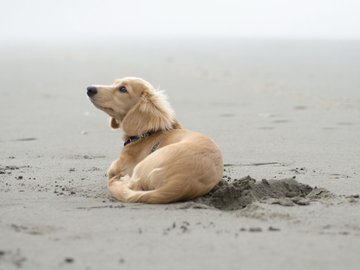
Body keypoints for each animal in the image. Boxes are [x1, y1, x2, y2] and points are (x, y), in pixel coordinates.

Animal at [86, 77, 224, 204]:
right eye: (114, 83)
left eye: (123, 89)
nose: (89, 89)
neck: (147, 133)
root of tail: (180, 182)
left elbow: (112, 171)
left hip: (142, 166)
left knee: (133, 185)